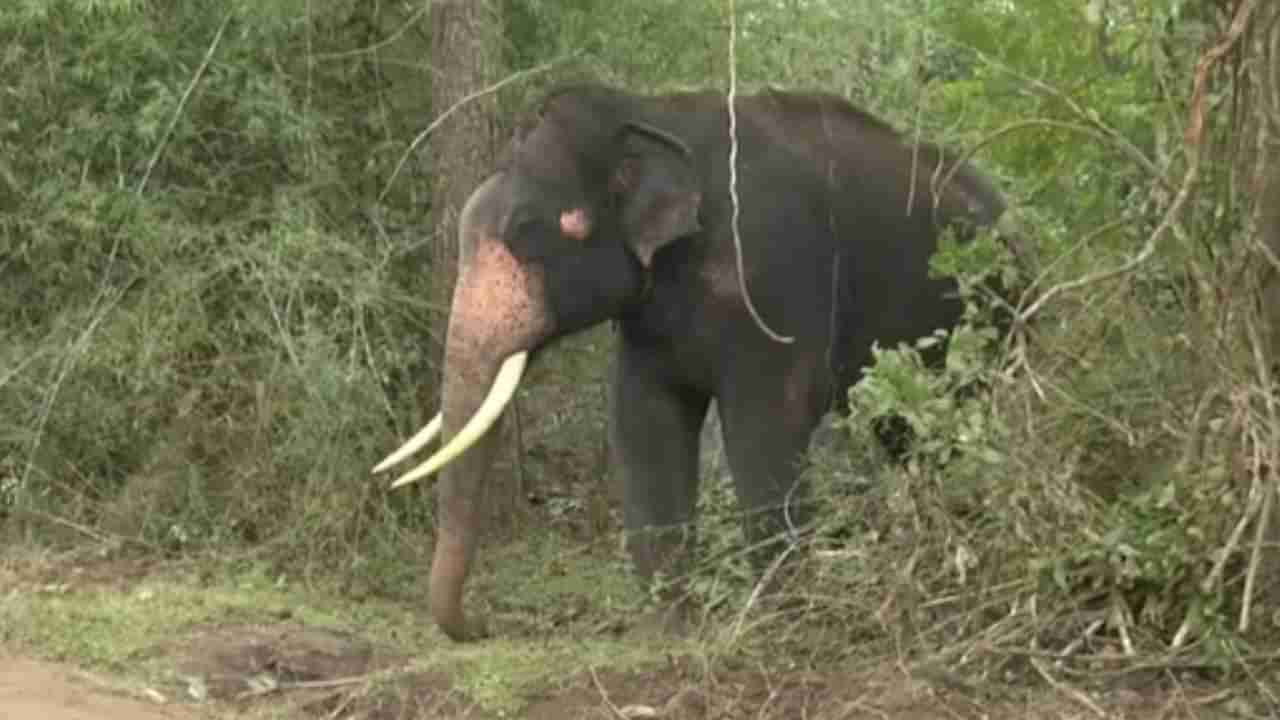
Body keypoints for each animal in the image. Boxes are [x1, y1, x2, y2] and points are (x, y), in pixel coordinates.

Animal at [371, 82, 1018, 638]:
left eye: (528, 231)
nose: (482, 626)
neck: (653, 114)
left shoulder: (773, 271)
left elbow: (769, 422)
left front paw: (779, 623)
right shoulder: (648, 313)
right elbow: (645, 420)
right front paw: (673, 627)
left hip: (994, 314)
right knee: (907, 435)